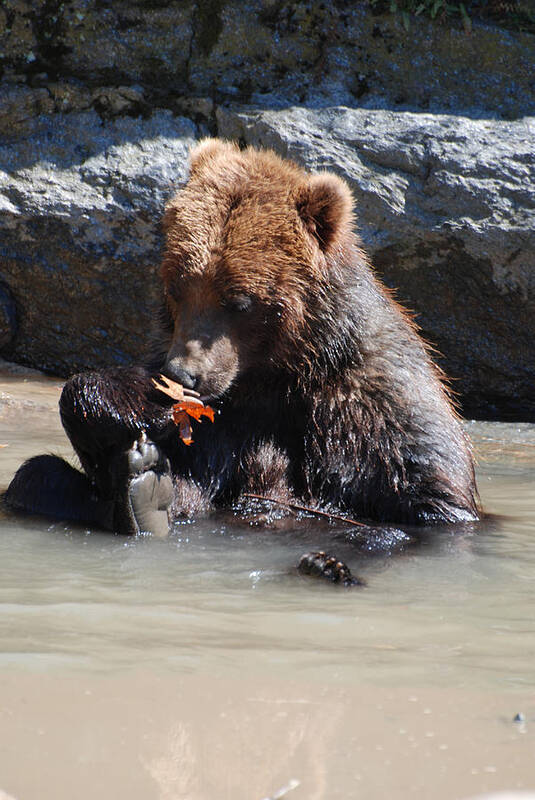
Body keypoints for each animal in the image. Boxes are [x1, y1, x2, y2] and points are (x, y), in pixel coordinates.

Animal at [5, 139, 482, 580]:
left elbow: (425, 504)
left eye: (238, 300)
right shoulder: (223, 422)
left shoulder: (371, 403)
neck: (277, 371)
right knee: (34, 478)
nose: (184, 374)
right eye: (177, 285)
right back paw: (139, 497)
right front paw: (131, 409)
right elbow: (184, 470)